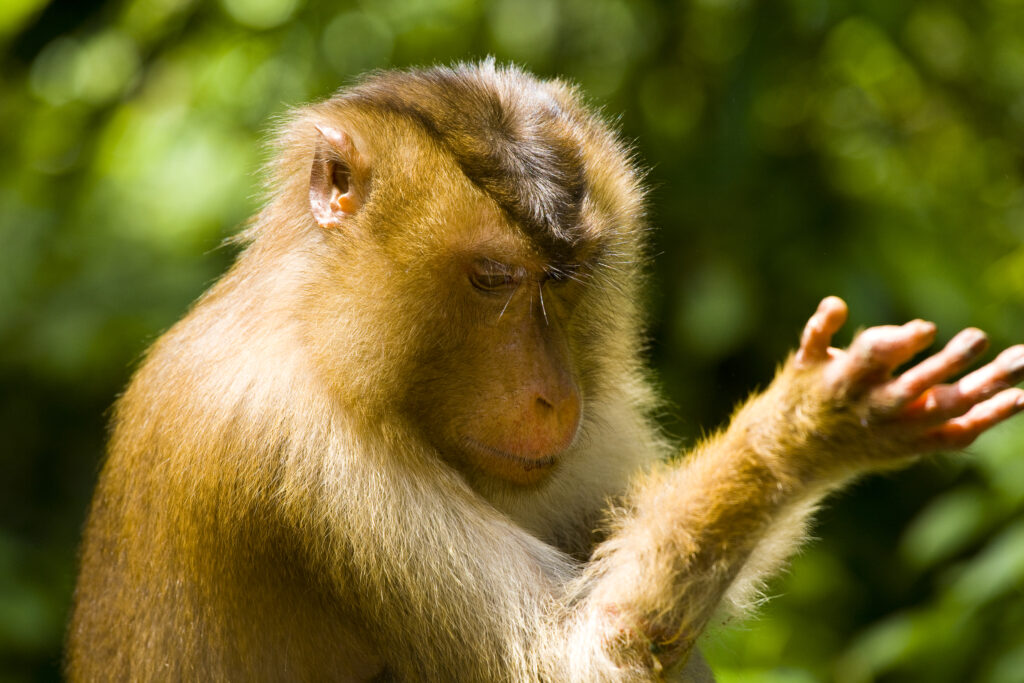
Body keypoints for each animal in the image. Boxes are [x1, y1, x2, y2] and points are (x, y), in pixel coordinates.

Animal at [66, 62, 1024, 682]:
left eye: (566, 279)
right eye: (493, 278)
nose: (553, 394)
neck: (322, 332)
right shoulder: (290, 446)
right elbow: (582, 655)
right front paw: (815, 428)